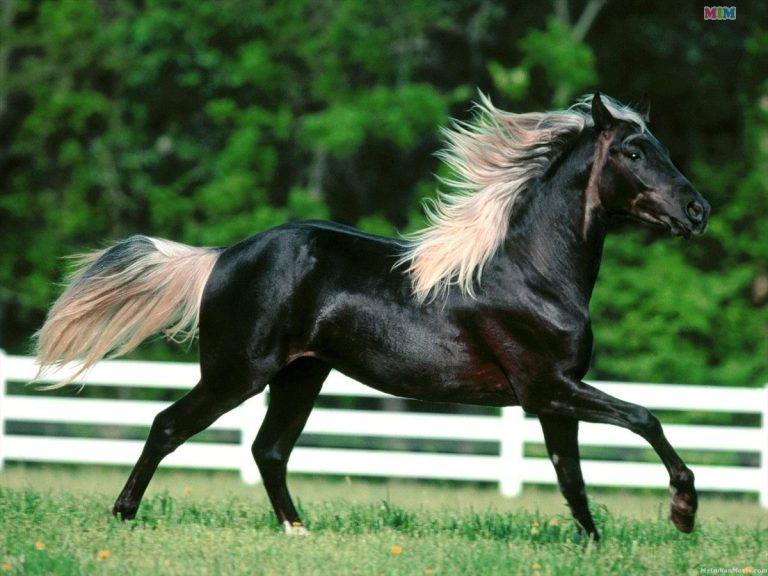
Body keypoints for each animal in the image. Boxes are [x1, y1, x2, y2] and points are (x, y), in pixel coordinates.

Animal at [35, 92, 710, 541]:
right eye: (633, 150)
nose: (698, 211)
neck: (533, 272)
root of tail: (222, 256)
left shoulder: (553, 395)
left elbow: (571, 476)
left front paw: (593, 545)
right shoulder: (548, 386)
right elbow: (645, 418)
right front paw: (683, 513)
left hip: (300, 376)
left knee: (268, 450)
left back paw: (298, 531)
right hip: (237, 374)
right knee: (169, 426)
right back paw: (123, 516)